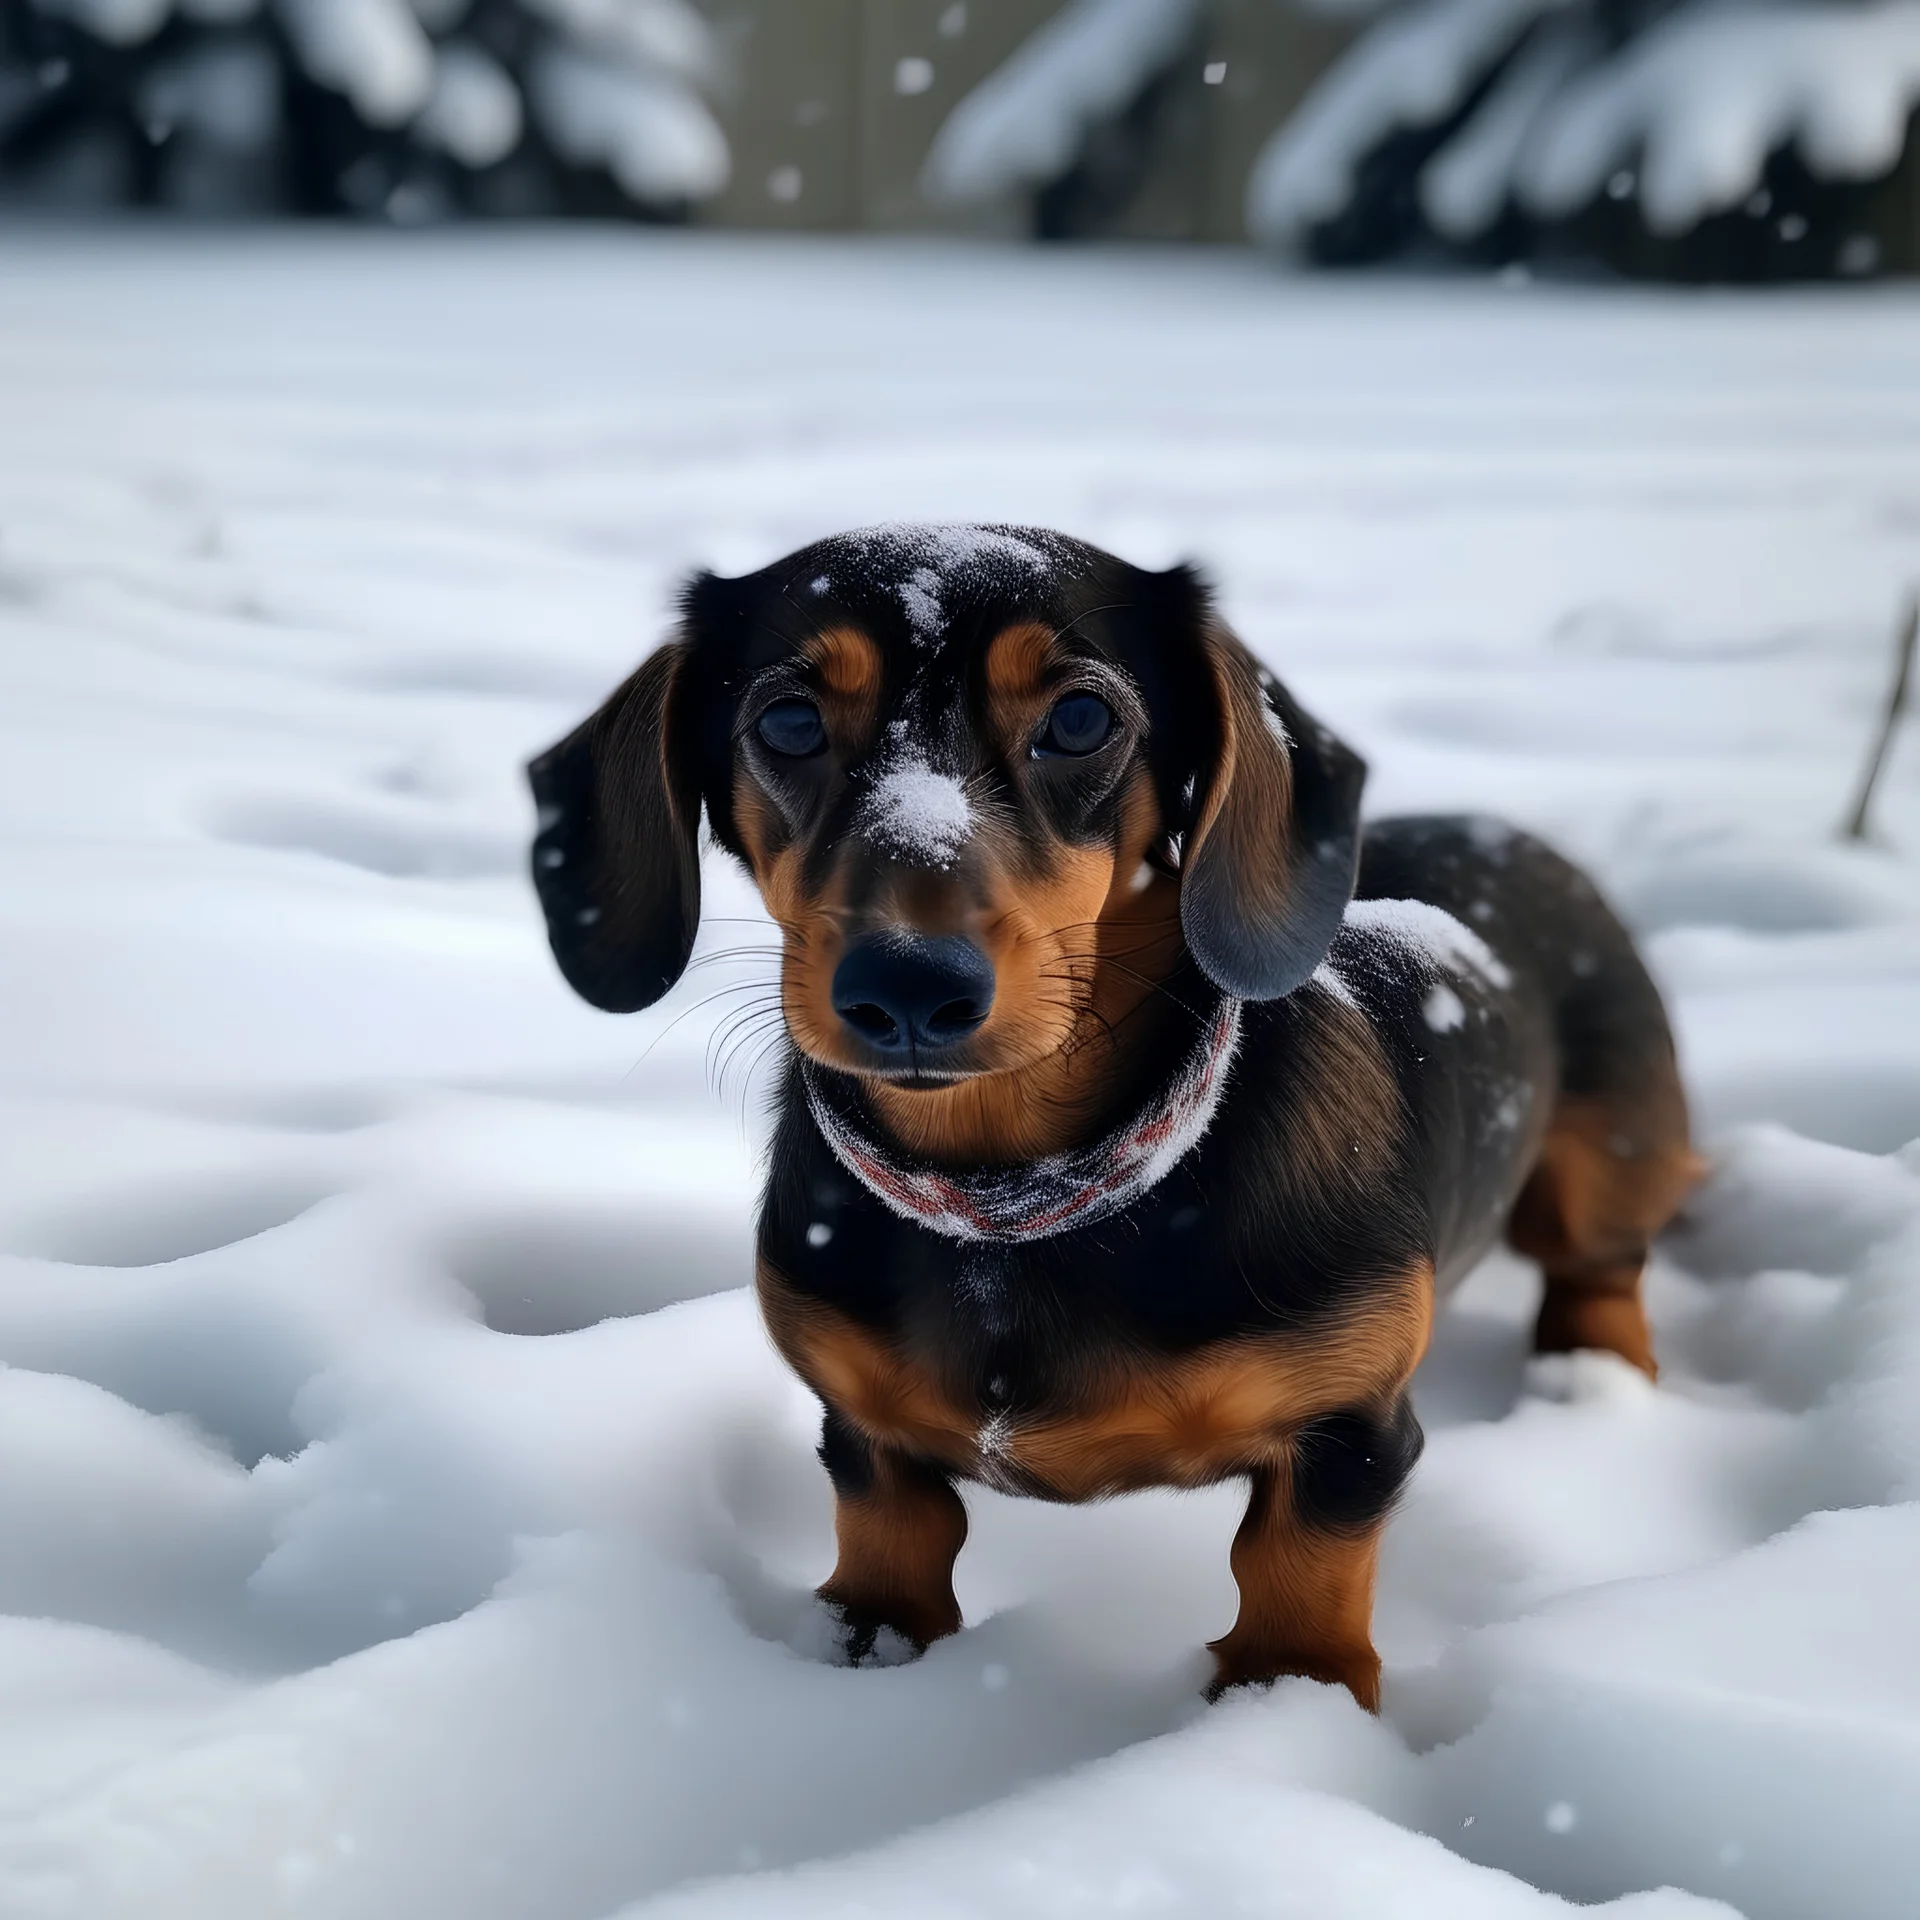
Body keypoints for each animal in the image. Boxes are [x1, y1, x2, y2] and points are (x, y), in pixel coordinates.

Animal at [526, 526, 1697, 1712]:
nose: (908, 988)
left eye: (1083, 718)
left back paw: (1590, 1383)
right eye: (788, 723)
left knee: (1604, 1271)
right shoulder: (859, 1425)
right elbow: (892, 1528)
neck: (1011, 1201)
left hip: (1609, 1162)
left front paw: (1290, 1700)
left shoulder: (1347, 1433)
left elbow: (1296, 1571)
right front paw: (872, 1645)